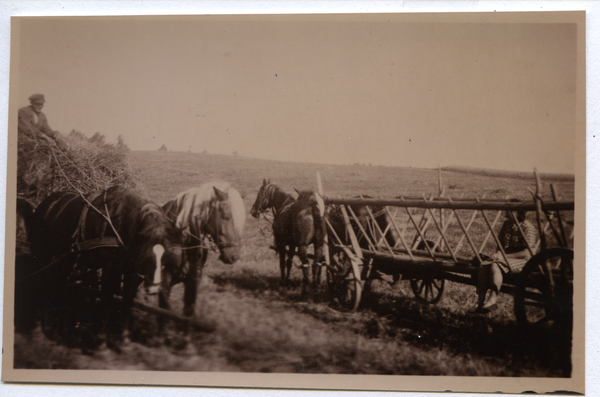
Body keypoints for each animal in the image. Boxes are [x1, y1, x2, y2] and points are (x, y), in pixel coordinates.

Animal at [28, 186, 183, 350]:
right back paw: (39, 324)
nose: (154, 288)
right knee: (40, 282)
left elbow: (127, 300)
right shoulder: (109, 268)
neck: (122, 224)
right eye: (146, 255)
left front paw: (123, 339)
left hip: (64, 260)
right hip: (41, 256)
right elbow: (107, 298)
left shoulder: (131, 272)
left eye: (165, 257)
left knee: (56, 284)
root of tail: (46, 203)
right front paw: (102, 340)